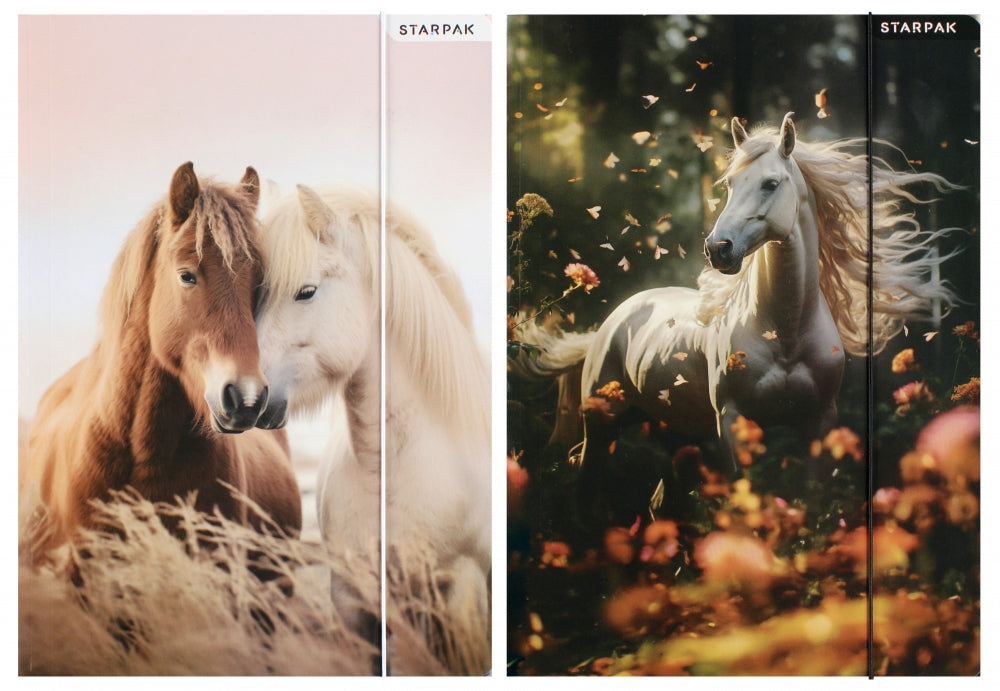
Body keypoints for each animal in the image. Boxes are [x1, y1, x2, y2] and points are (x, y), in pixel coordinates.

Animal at [512, 113, 957, 525]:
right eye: (729, 185)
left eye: (770, 184)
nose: (718, 249)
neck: (786, 335)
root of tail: (615, 320)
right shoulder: (733, 421)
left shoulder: (819, 423)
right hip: (602, 422)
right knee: (585, 477)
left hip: (672, 428)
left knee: (659, 501)